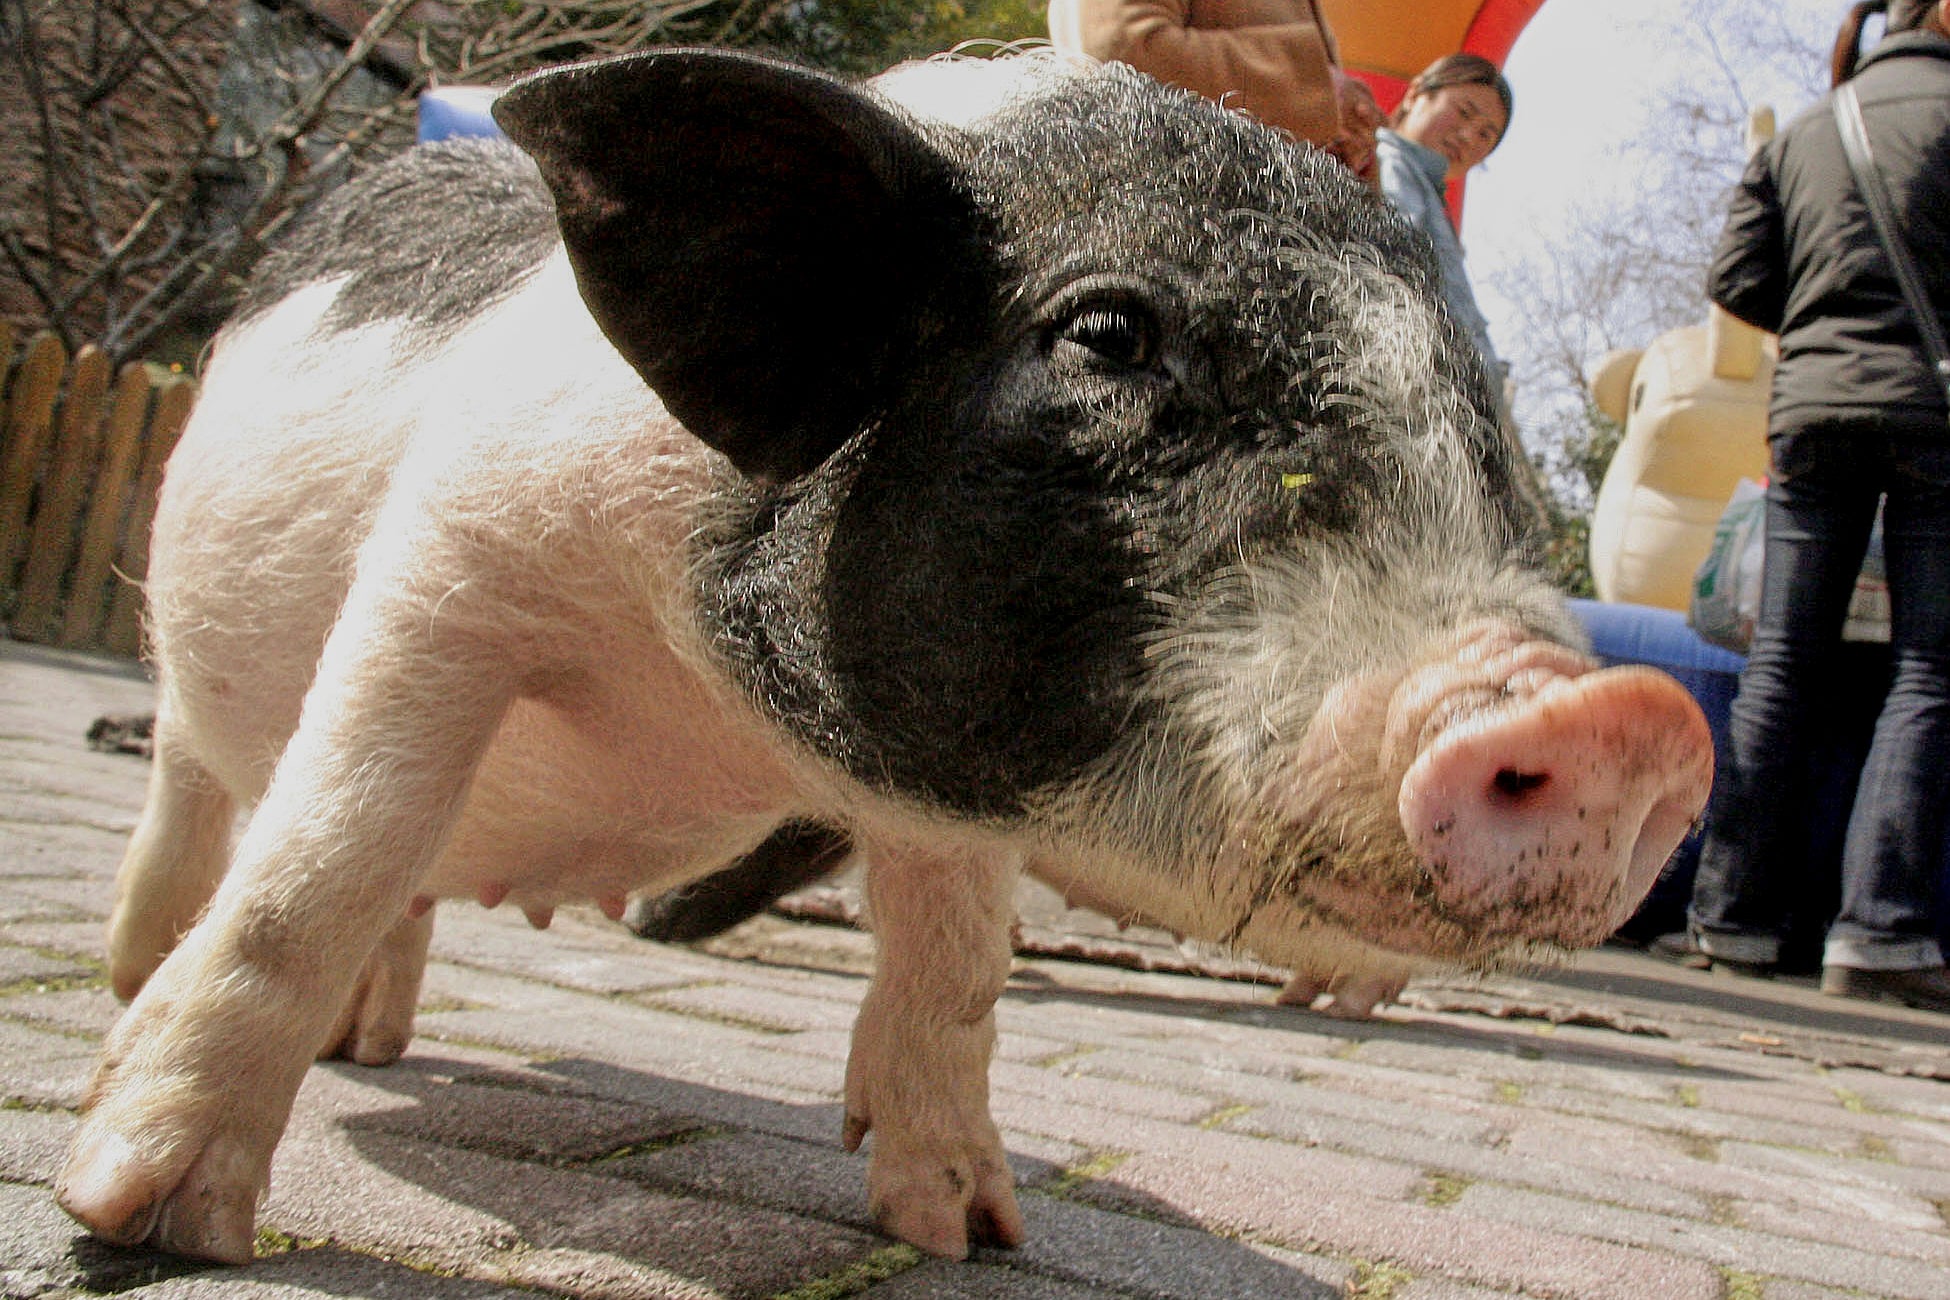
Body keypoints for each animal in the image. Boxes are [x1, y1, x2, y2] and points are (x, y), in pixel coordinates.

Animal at [58, 47, 1714, 1265]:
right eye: (1106, 336)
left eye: (1473, 411)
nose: (1623, 716)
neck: (708, 710)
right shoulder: (449, 562)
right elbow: (322, 860)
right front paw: (138, 1220)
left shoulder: (959, 785)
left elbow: (958, 968)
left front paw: (969, 1234)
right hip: (190, 651)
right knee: (214, 800)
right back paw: (132, 993)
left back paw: (380, 1046)